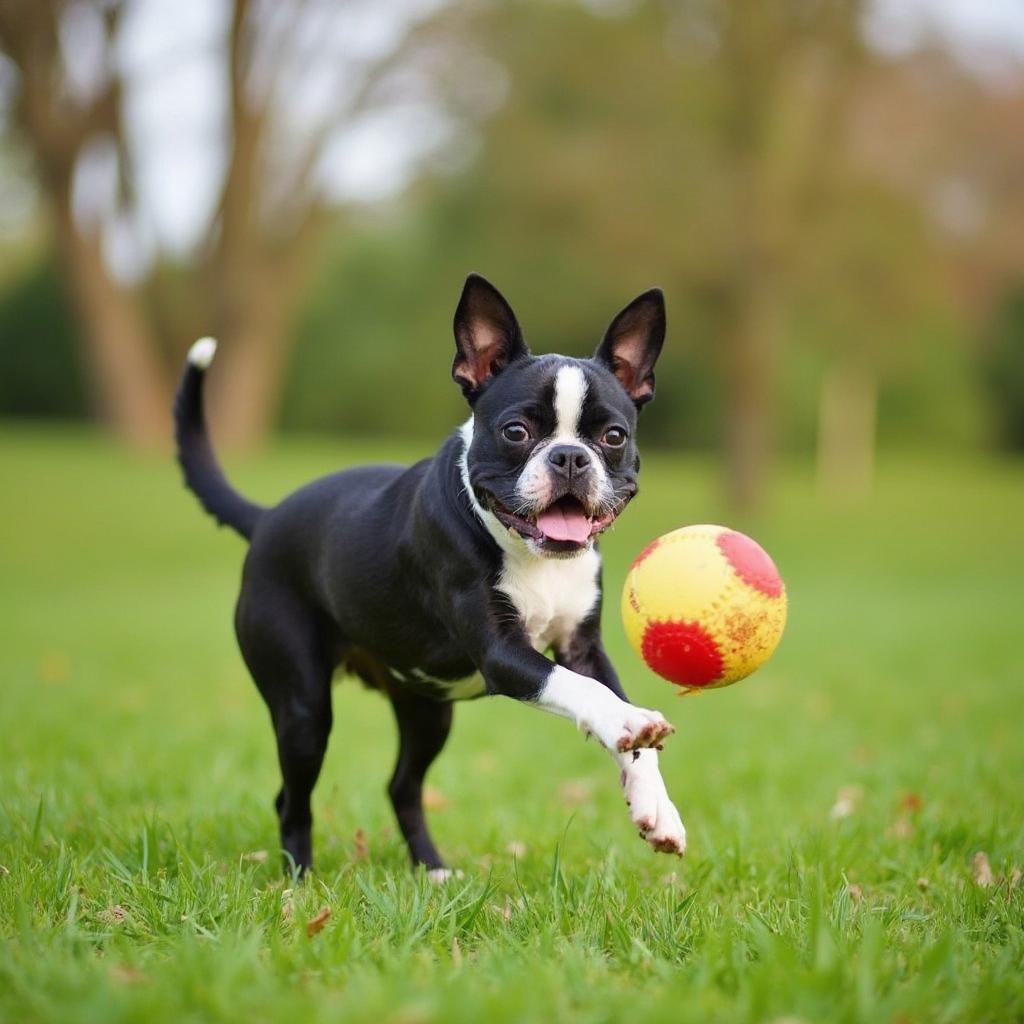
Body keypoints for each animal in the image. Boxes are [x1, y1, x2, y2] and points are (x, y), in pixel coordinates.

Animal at [174, 274, 688, 880]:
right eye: (516, 431)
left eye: (613, 437)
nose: (569, 457)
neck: (532, 554)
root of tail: (267, 516)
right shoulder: (503, 654)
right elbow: (584, 691)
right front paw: (630, 725)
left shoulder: (582, 647)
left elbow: (609, 698)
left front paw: (657, 808)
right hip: (302, 707)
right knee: (291, 795)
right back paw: (299, 880)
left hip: (427, 712)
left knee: (402, 785)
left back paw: (433, 871)